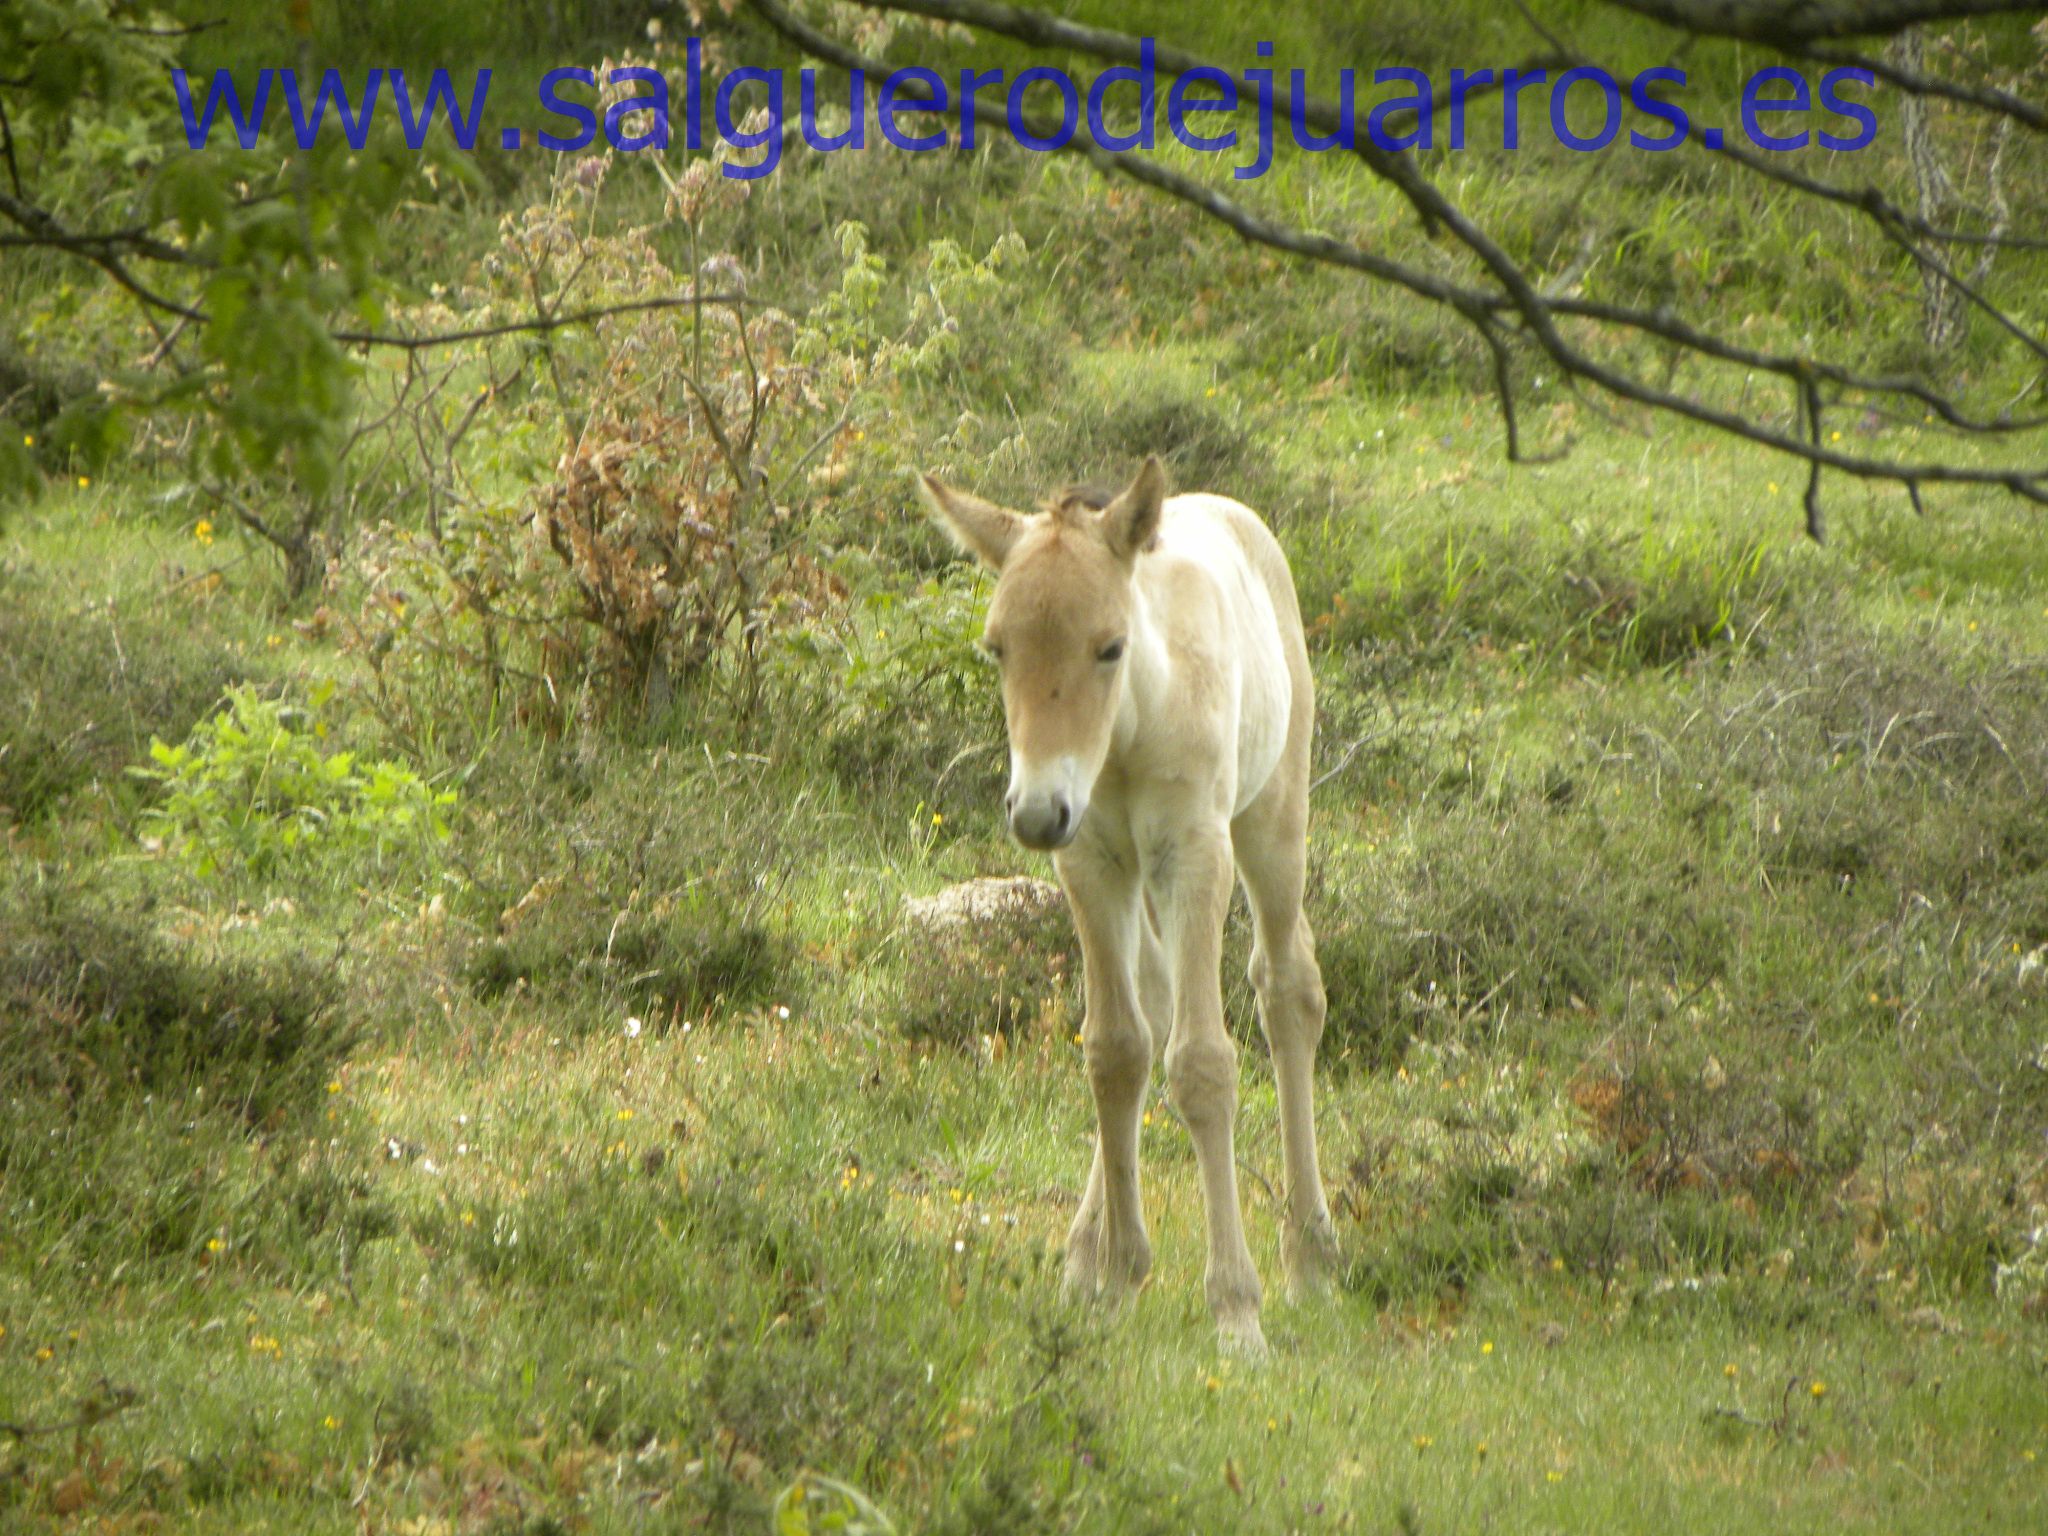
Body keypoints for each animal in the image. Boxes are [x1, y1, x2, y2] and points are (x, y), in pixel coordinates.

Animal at [915, 455, 1337, 1354]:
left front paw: (1236, 1311)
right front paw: (1114, 1274)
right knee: (1152, 1000)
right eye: (996, 647)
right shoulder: (1090, 861)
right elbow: (1115, 1052)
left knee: (1288, 988)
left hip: (1272, 819)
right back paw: (1086, 1256)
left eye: (1110, 646)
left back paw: (1311, 1257)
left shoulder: (1194, 852)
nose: (1036, 811)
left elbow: (1203, 1064)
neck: (1132, 727)